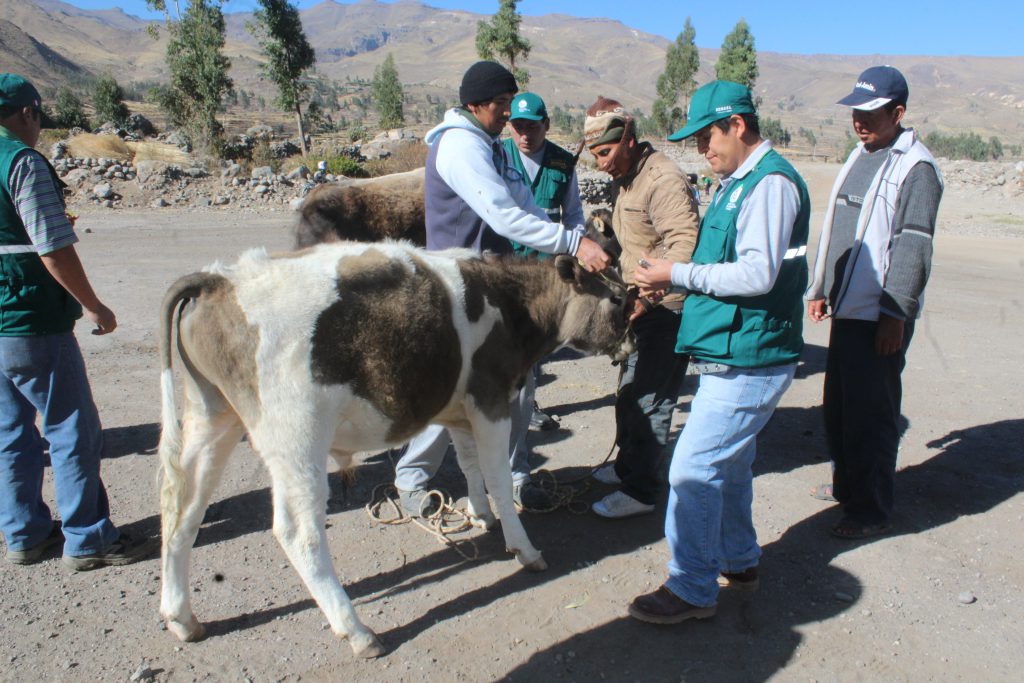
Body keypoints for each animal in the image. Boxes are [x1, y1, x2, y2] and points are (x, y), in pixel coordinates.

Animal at [156, 240, 630, 655]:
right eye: (618, 301)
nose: (632, 345)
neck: (508, 302)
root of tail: (220, 278)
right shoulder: (491, 399)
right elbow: (496, 475)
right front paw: (524, 548)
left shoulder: (460, 409)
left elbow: (469, 463)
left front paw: (481, 515)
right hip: (296, 439)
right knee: (298, 534)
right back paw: (356, 631)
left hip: (213, 418)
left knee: (182, 511)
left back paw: (182, 617)